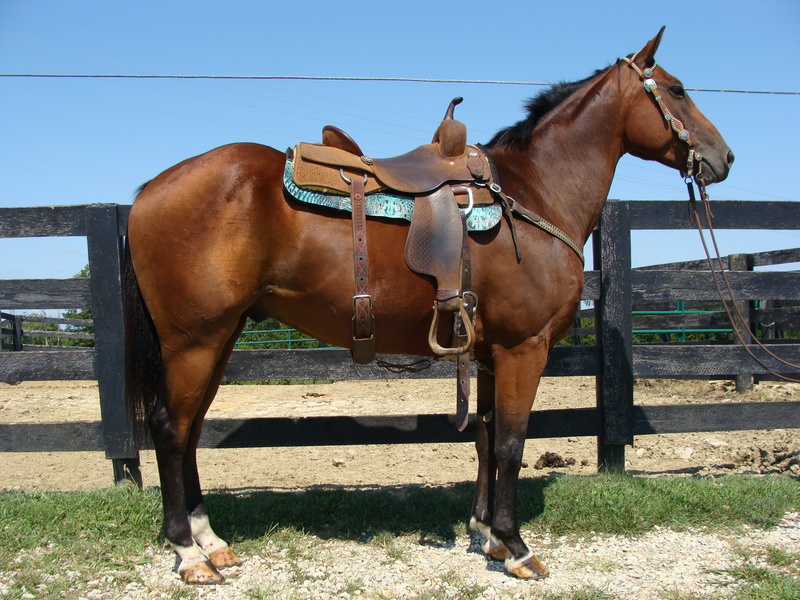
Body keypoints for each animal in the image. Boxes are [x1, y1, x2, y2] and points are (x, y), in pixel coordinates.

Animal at [123, 27, 733, 583]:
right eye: (677, 90)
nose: (724, 157)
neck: (533, 192)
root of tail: (151, 188)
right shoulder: (524, 348)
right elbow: (511, 442)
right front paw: (516, 547)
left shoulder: (488, 352)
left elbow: (485, 435)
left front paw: (487, 534)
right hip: (195, 341)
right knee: (170, 429)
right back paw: (188, 553)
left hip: (219, 339)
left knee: (192, 430)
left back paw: (212, 542)